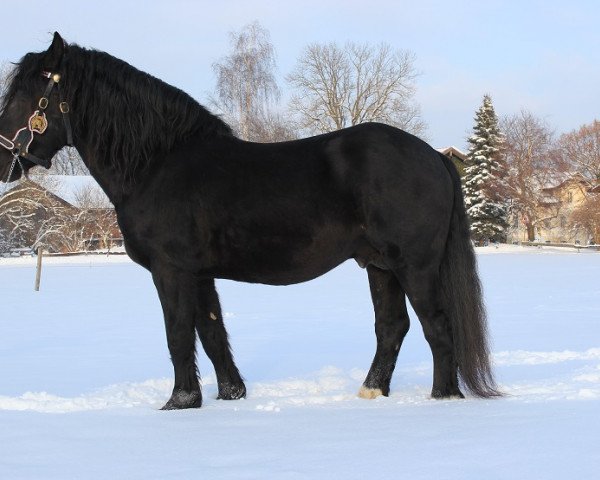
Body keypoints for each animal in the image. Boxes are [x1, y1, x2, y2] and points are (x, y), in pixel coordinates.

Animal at [0, 32, 496, 408]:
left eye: (29, 95)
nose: (5, 161)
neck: (157, 163)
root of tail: (433, 156)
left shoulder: (170, 271)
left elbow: (178, 334)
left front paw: (178, 403)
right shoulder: (199, 274)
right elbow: (211, 332)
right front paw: (229, 395)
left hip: (415, 266)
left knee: (438, 326)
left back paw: (443, 399)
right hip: (379, 266)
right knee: (393, 327)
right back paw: (371, 392)